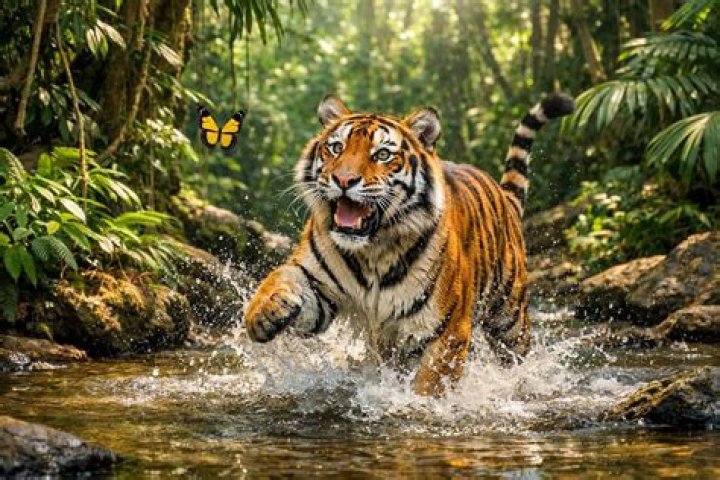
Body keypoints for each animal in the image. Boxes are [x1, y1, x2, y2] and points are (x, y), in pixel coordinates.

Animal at [244, 93, 575, 396]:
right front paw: (262, 314)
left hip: (509, 316)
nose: (343, 180)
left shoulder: (447, 331)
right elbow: (280, 277)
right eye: (336, 148)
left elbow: (429, 386)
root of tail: (503, 195)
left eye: (382, 155)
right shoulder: (319, 287)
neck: (372, 249)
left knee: (516, 353)